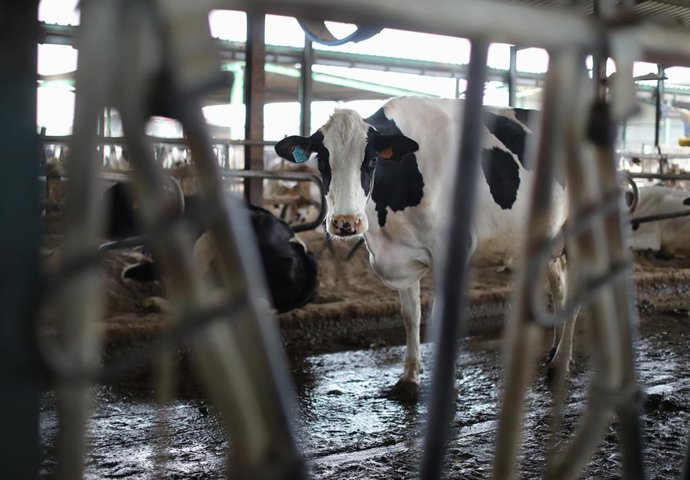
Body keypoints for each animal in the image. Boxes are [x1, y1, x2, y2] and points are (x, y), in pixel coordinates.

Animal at [275, 96, 574, 398]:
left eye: (371, 160)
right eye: (322, 160)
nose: (346, 222)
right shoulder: (401, 256)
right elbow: (411, 316)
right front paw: (409, 378)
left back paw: (560, 363)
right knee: (560, 289)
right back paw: (553, 351)